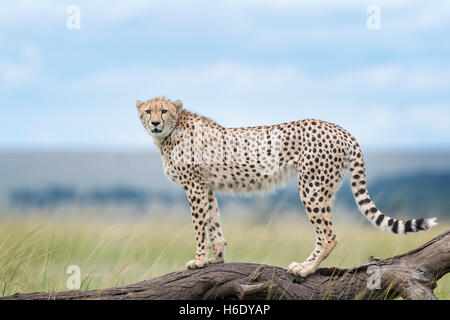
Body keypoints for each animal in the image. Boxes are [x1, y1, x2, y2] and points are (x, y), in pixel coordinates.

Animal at [135, 96, 438, 276]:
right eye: (148, 111)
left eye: (164, 110)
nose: (155, 123)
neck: (171, 133)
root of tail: (340, 128)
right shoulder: (205, 187)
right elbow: (213, 224)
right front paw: (216, 259)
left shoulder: (195, 187)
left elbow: (200, 227)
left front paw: (198, 259)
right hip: (323, 189)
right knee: (325, 233)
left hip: (311, 188)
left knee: (328, 235)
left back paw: (306, 268)